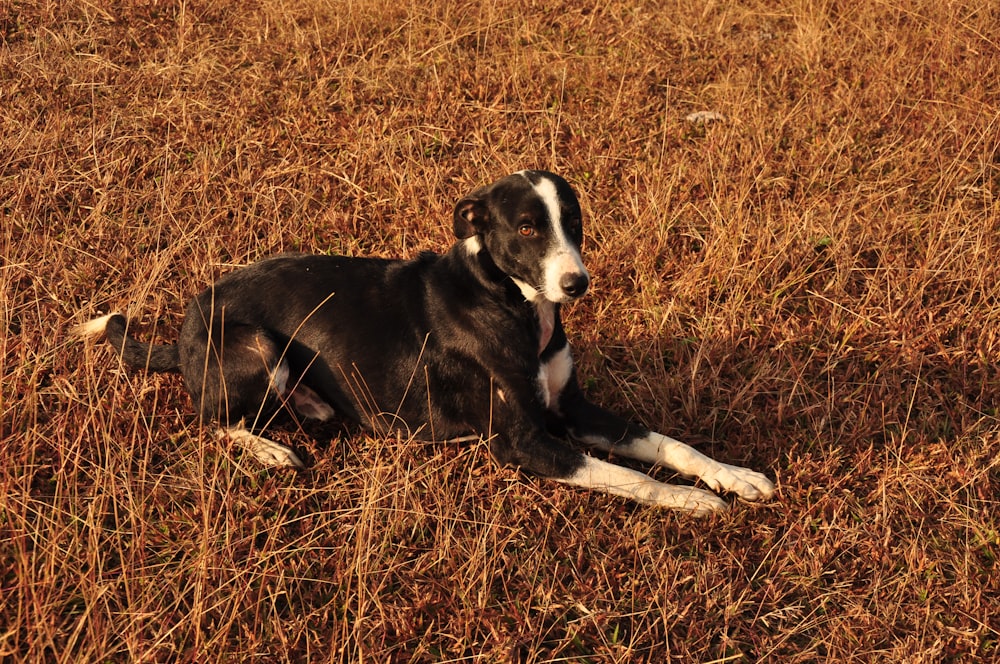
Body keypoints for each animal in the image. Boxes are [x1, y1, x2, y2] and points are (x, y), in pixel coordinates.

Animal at [82, 170, 776, 512]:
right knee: (214, 418)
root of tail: (180, 330)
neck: (510, 301)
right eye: (527, 227)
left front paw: (735, 477)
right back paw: (272, 449)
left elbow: (667, 444)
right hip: (256, 348)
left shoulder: (572, 410)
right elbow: (629, 476)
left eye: (573, 221)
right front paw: (691, 501)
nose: (577, 284)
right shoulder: (523, 442)